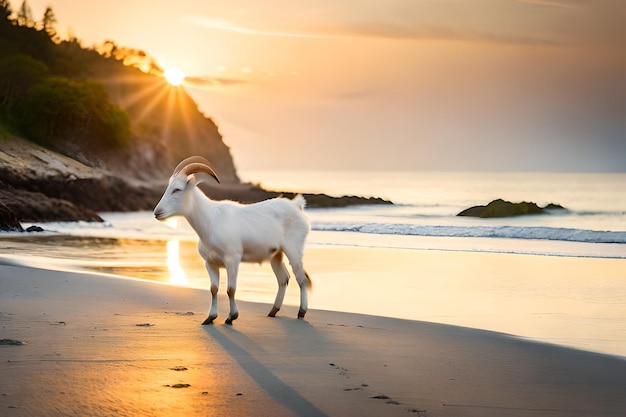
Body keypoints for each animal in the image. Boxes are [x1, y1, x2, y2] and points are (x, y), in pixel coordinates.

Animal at [154, 155, 310, 322]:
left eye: (177, 189)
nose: (157, 212)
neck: (211, 220)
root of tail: (296, 206)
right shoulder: (210, 262)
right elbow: (213, 289)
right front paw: (210, 317)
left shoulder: (232, 259)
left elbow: (231, 289)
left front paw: (232, 316)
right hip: (275, 254)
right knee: (283, 278)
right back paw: (273, 311)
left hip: (294, 248)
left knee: (301, 278)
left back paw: (301, 312)